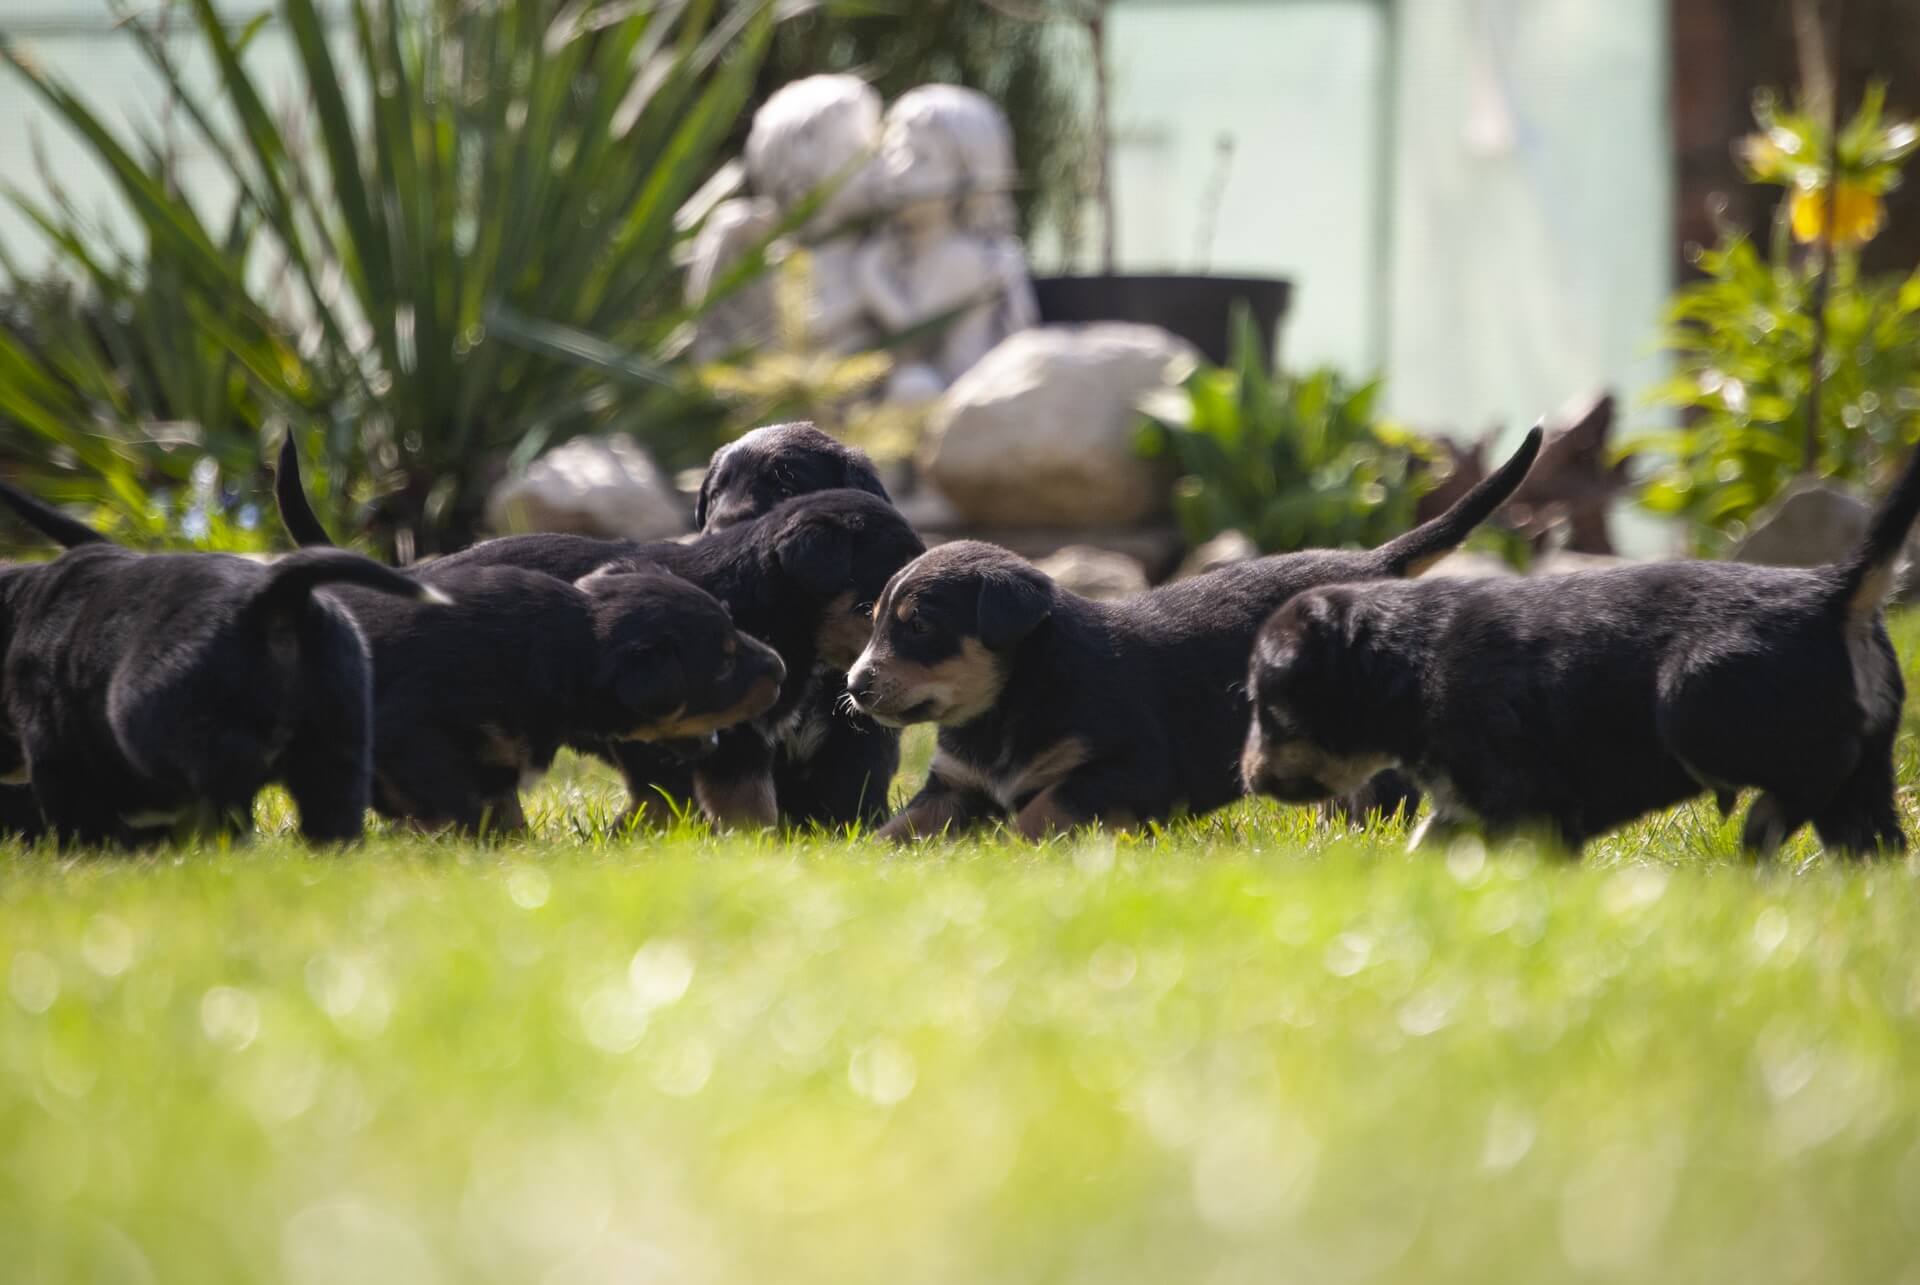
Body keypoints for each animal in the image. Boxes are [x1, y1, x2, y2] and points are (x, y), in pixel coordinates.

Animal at [0, 480, 433, 841]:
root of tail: (274, 596)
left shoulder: (53, 752)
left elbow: (78, 816)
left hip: (187, 732)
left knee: (226, 799)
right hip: (337, 734)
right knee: (332, 811)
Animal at [856, 426, 1543, 837]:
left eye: (920, 625)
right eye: (874, 621)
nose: (855, 686)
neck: (1008, 702)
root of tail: (1375, 564)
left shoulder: (1126, 769)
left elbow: (1037, 816)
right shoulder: (953, 787)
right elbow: (894, 832)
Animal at [1244, 441, 1920, 852]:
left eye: (1269, 708)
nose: (1247, 778)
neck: (1407, 658)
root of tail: (1836, 590)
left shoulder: (1527, 802)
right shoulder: (1465, 805)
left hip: (1703, 715)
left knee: (1802, 786)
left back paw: (1761, 829)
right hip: (1869, 775)